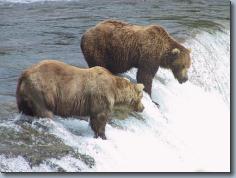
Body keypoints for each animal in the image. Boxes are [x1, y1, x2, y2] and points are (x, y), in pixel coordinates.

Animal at [16, 59, 144, 139]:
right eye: (142, 96)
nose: (143, 108)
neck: (115, 91)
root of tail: (25, 73)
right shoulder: (102, 96)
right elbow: (100, 119)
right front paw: (102, 136)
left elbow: (94, 120)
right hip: (43, 90)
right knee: (45, 110)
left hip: (24, 95)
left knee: (25, 109)